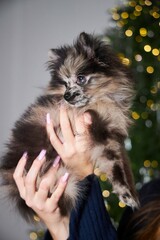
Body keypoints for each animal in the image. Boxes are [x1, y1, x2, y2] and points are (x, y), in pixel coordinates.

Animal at [0, 31, 138, 221]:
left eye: (80, 78)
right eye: (65, 83)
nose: (67, 96)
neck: (102, 98)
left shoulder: (114, 134)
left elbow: (124, 164)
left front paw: (133, 193)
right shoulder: (101, 132)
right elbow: (115, 165)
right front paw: (126, 194)